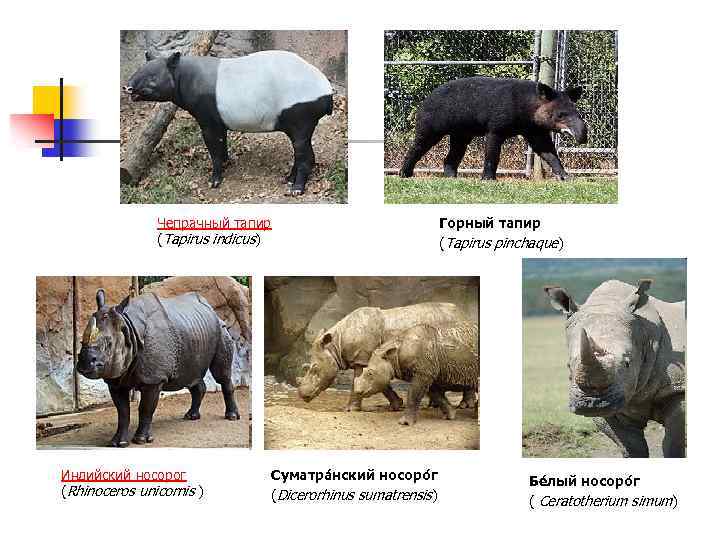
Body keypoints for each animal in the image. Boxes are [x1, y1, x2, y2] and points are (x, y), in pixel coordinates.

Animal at [76, 289, 239, 447]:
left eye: (109, 343)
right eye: (80, 342)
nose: (84, 364)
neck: (128, 327)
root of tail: (212, 310)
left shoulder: (154, 379)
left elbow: (145, 408)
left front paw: (141, 440)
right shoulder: (115, 379)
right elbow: (122, 412)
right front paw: (117, 442)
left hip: (221, 330)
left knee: (221, 375)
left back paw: (231, 417)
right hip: (195, 331)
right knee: (192, 375)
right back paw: (191, 416)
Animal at [297, 302, 476, 411]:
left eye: (314, 369)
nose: (302, 395)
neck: (335, 345)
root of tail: (464, 313)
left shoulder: (363, 358)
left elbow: (360, 381)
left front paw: (350, 410)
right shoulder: (375, 359)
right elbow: (381, 384)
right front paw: (397, 406)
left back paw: (464, 406)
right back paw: (434, 405)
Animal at [544, 279, 686, 457]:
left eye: (627, 363)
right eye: (569, 365)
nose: (592, 403)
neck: (644, 333)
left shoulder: (677, 388)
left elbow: (673, 444)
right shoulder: (611, 405)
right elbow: (632, 447)